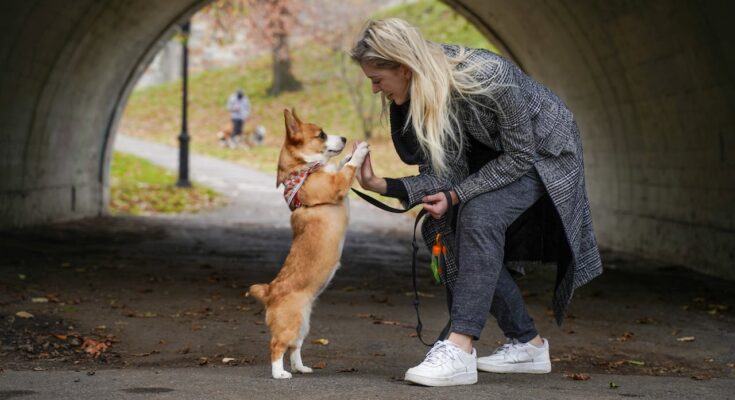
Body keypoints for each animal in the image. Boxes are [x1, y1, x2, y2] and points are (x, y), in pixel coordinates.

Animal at [250, 108, 370, 378]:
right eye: (321, 134)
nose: (345, 138)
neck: (305, 169)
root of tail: (270, 292)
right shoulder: (337, 184)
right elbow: (348, 169)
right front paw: (359, 150)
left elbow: (341, 164)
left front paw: (349, 153)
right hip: (290, 324)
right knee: (277, 346)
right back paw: (280, 373)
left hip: (303, 325)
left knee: (295, 347)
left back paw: (300, 367)